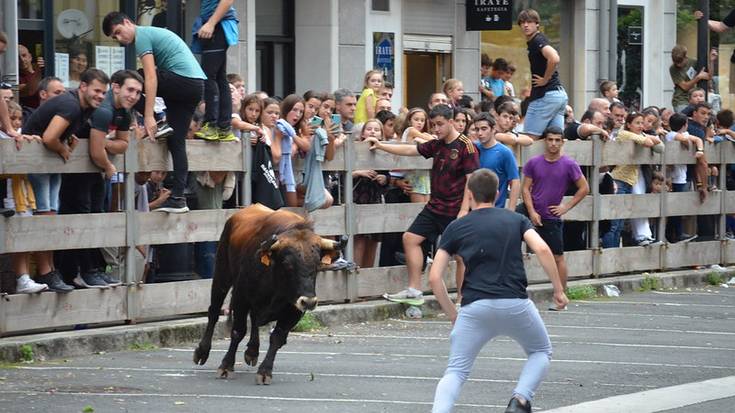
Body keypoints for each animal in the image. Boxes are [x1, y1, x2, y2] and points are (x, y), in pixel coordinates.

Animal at [194, 204, 346, 384]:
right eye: (287, 263)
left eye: (317, 264)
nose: (309, 302)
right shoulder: (241, 298)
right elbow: (238, 331)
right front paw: (226, 366)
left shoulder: (294, 309)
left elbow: (277, 337)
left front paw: (265, 371)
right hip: (222, 273)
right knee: (214, 311)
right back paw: (202, 352)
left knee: (254, 318)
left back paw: (252, 351)